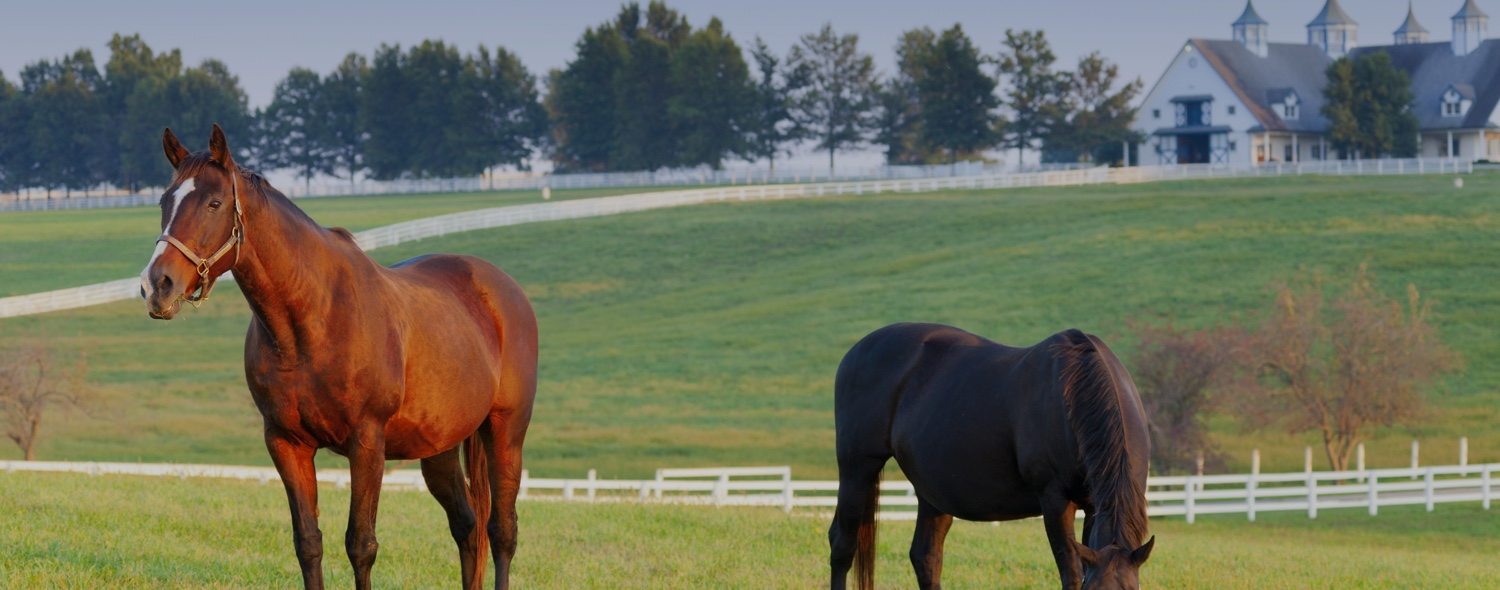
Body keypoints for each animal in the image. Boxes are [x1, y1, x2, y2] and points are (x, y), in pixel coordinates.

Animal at [139, 125, 540, 588]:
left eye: (214, 203)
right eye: (164, 202)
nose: (157, 285)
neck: (312, 321)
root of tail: (502, 289)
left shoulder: (367, 443)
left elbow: (361, 545)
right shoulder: (286, 443)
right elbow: (308, 542)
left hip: (506, 432)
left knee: (502, 530)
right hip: (440, 447)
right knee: (468, 526)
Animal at [828, 321, 1152, 588]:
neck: (1071, 394)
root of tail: (855, 351)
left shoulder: (1093, 504)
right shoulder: (1055, 500)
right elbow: (1071, 572)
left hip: (932, 490)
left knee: (926, 557)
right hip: (857, 468)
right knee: (842, 545)